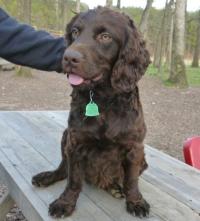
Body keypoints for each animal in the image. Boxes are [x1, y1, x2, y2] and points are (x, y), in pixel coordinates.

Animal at [32, 6, 150, 218]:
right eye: (75, 32)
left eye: (105, 36)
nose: (69, 57)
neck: (103, 101)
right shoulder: (75, 142)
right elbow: (73, 180)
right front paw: (65, 203)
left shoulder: (134, 147)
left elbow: (131, 180)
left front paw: (136, 201)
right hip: (65, 135)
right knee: (63, 169)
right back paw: (47, 176)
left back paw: (115, 188)